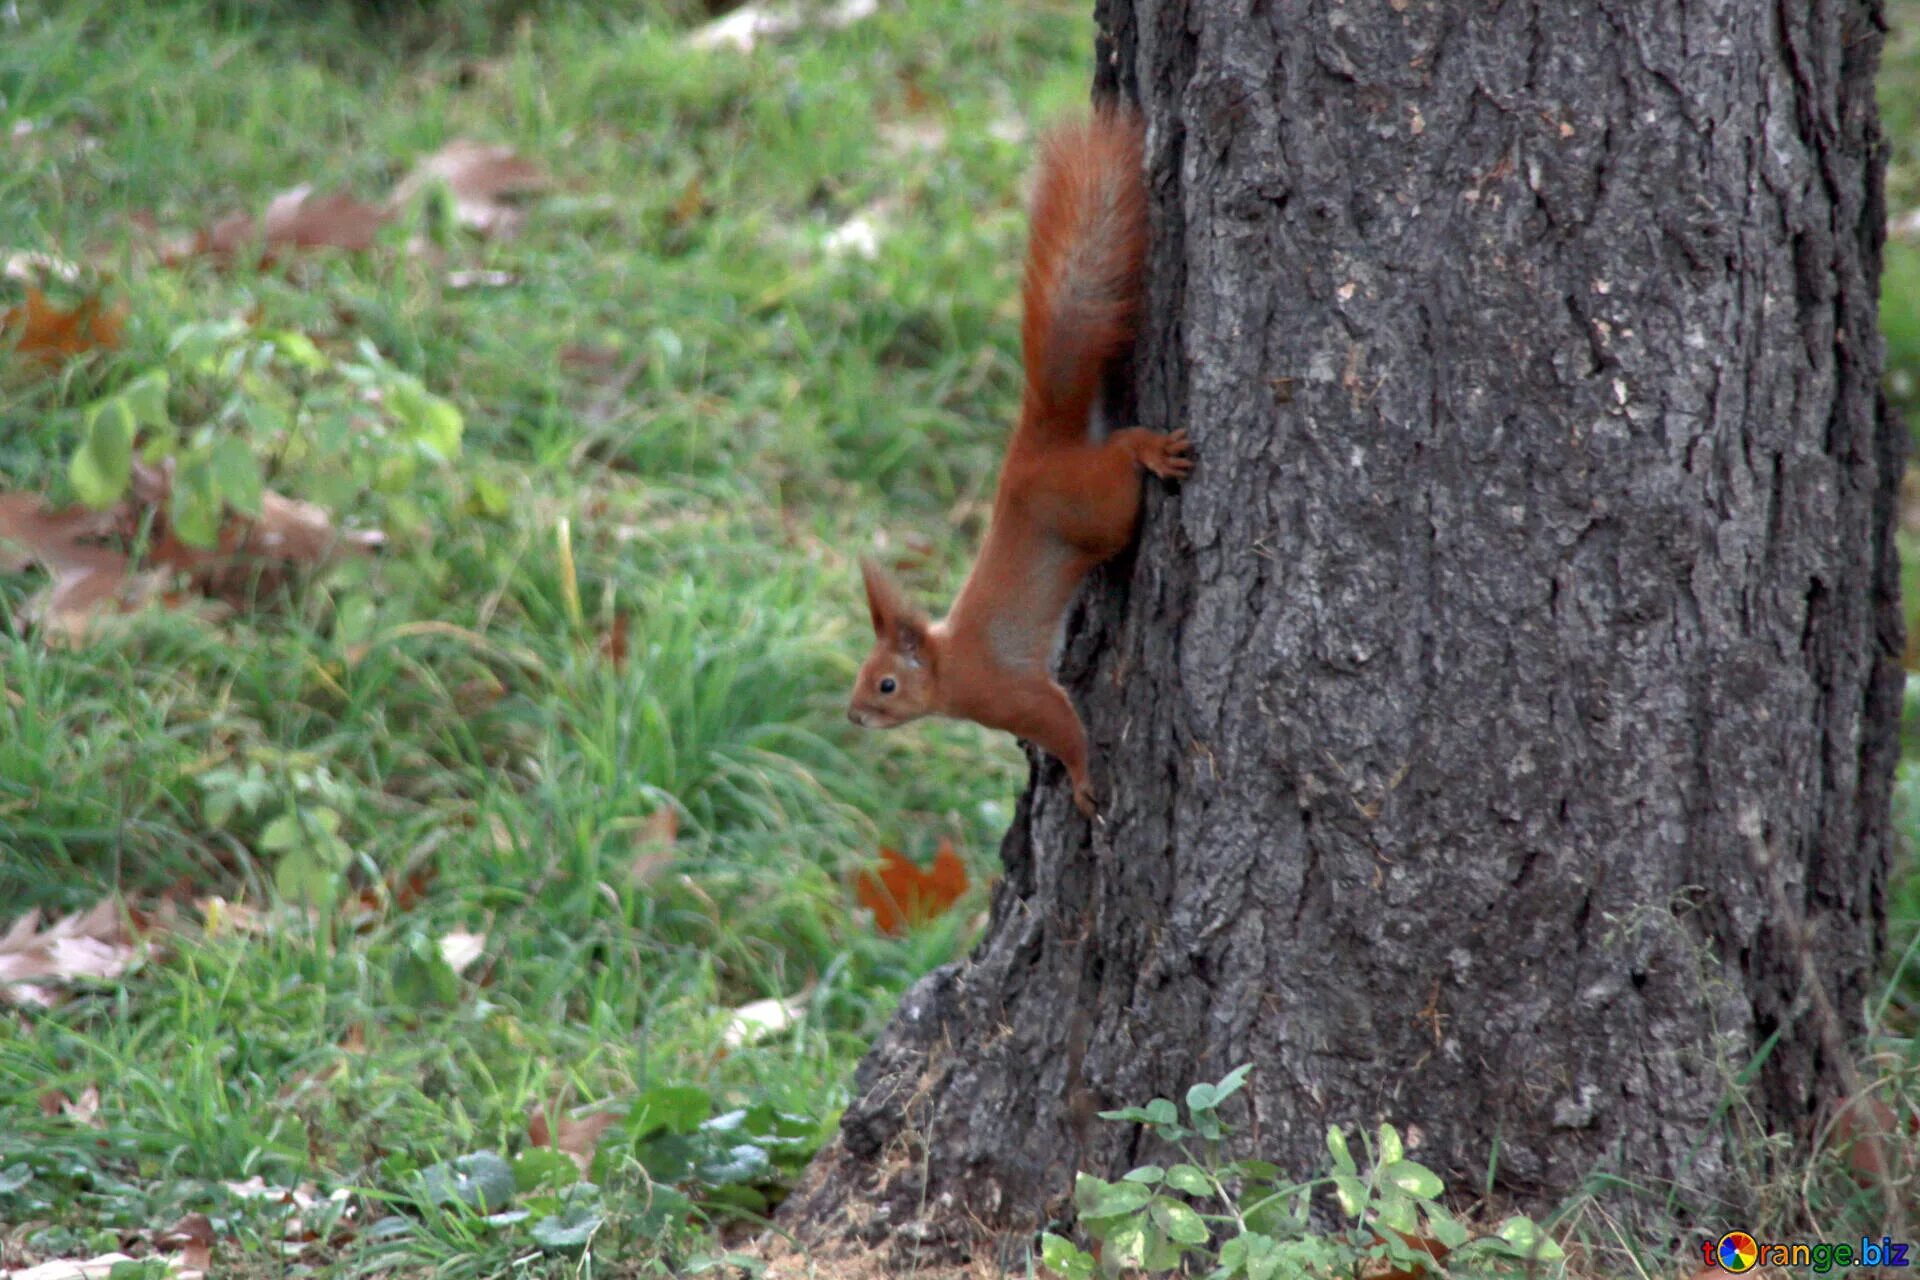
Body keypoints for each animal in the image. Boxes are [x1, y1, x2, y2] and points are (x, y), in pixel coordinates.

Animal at [852, 105, 1190, 817]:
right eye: (862, 676)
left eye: (886, 684)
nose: (854, 715)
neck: (948, 667)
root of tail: (1039, 447)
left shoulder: (1012, 695)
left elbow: (1062, 726)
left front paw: (1085, 783)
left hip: (1098, 509)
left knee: (1122, 460)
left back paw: (1150, 448)